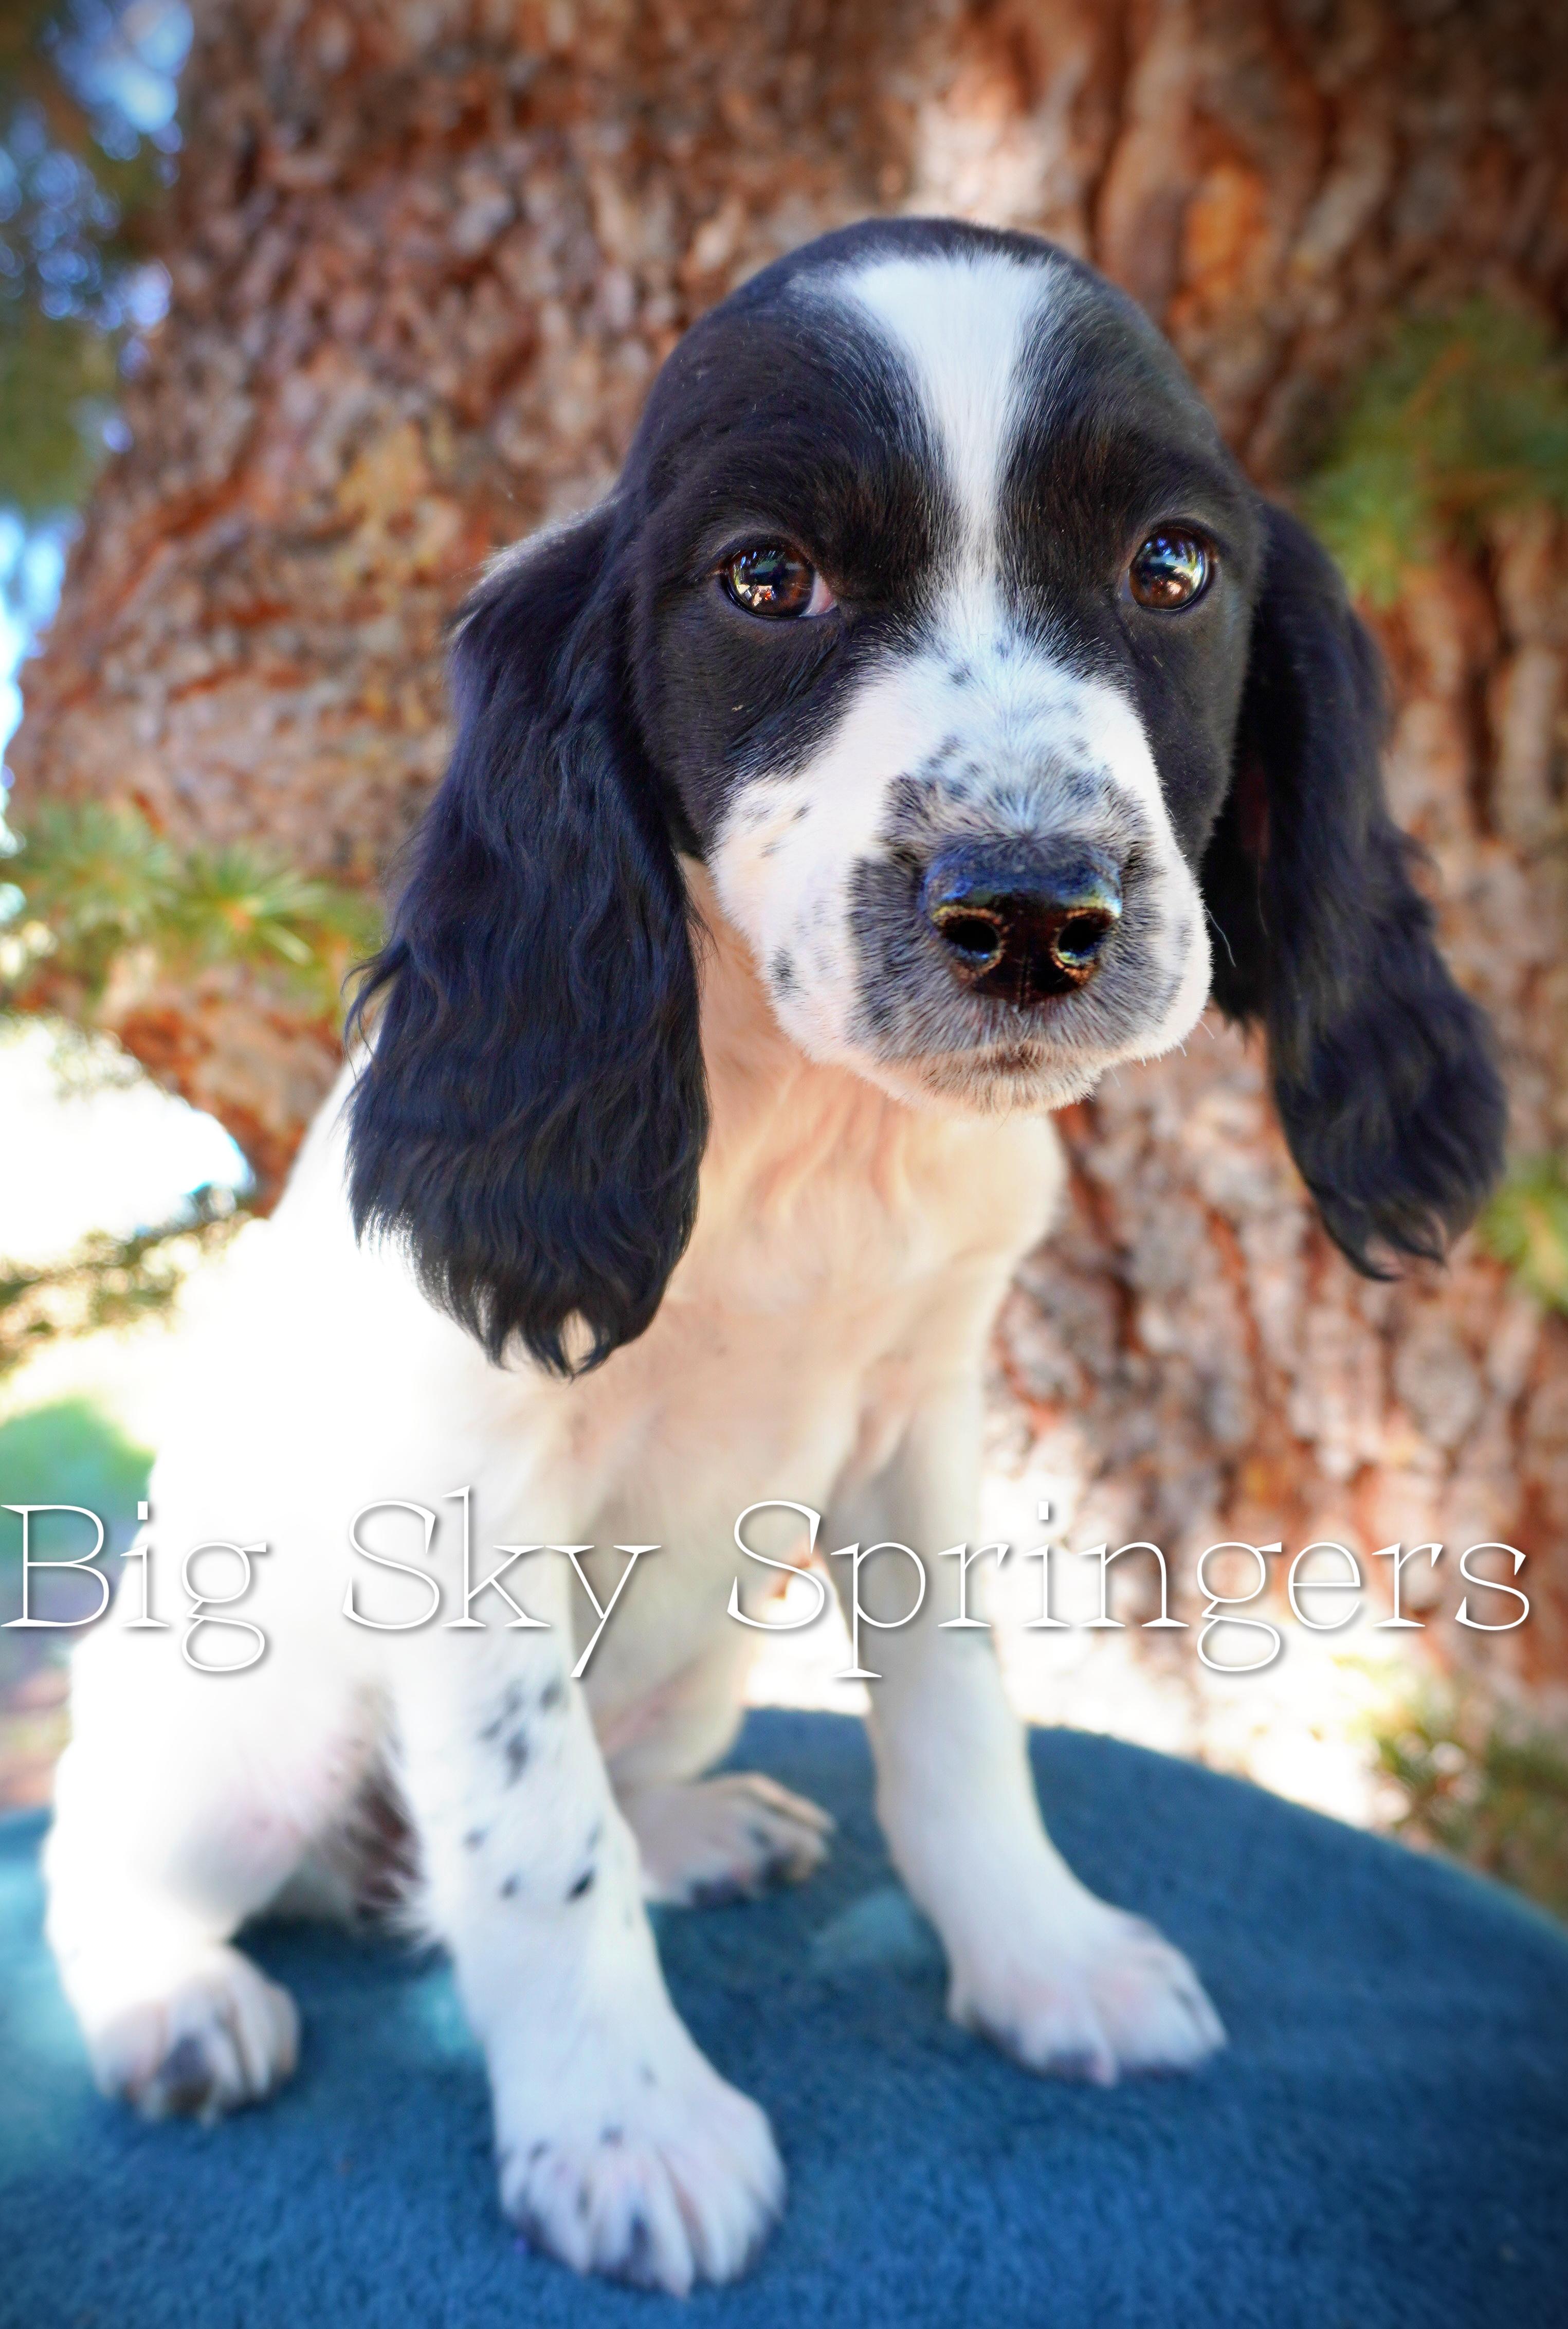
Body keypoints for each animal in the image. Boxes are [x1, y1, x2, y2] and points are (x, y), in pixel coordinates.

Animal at [45, 218, 1504, 2294]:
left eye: (1170, 567)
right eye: (765, 578)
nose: (1029, 911)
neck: (821, 1134)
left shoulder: (921, 1424)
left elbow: (957, 1716)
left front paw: (1039, 1957)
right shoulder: (468, 1498)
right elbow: (531, 1832)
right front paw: (624, 2125)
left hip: (710, 1659)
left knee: (611, 1777)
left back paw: (698, 1833)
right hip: (236, 1722)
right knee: (111, 1853)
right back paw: (171, 2000)